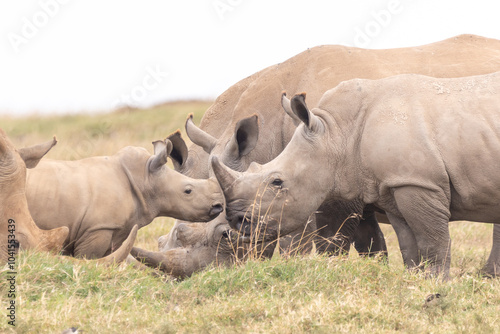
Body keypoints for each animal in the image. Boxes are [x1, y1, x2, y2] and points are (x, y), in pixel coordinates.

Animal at [25, 138, 223, 258]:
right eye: (188, 191)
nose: (219, 206)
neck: (145, 178)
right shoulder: (98, 228)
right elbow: (89, 259)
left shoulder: (116, 229)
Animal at [215, 72, 500, 278]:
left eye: (277, 182)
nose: (237, 221)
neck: (337, 132)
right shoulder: (392, 185)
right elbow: (408, 244)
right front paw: (414, 281)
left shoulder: (418, 182)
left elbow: (432, 241)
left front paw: (437, 283)